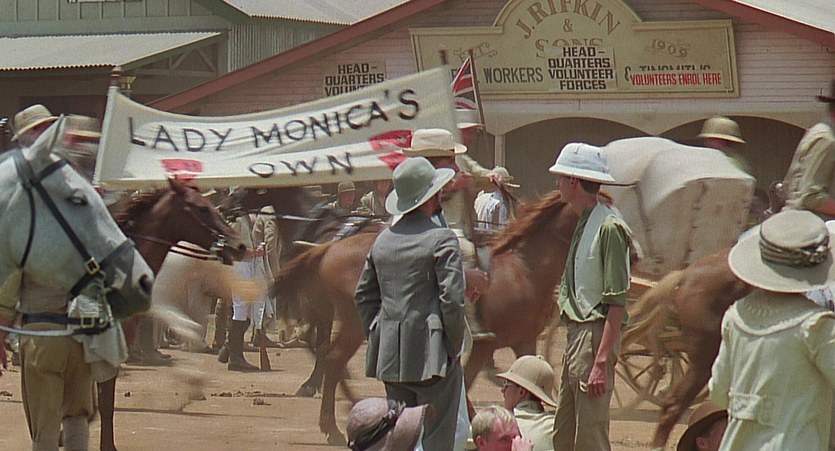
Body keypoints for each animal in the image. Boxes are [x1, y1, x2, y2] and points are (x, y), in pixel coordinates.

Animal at [273, 191, 579, 444]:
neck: (522, 269)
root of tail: (329, 247)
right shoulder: (484, 345)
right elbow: (466, 383)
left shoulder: (523, 341)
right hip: (354, 323)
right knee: (334, 359)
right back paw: (335, 427)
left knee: (331, 358)